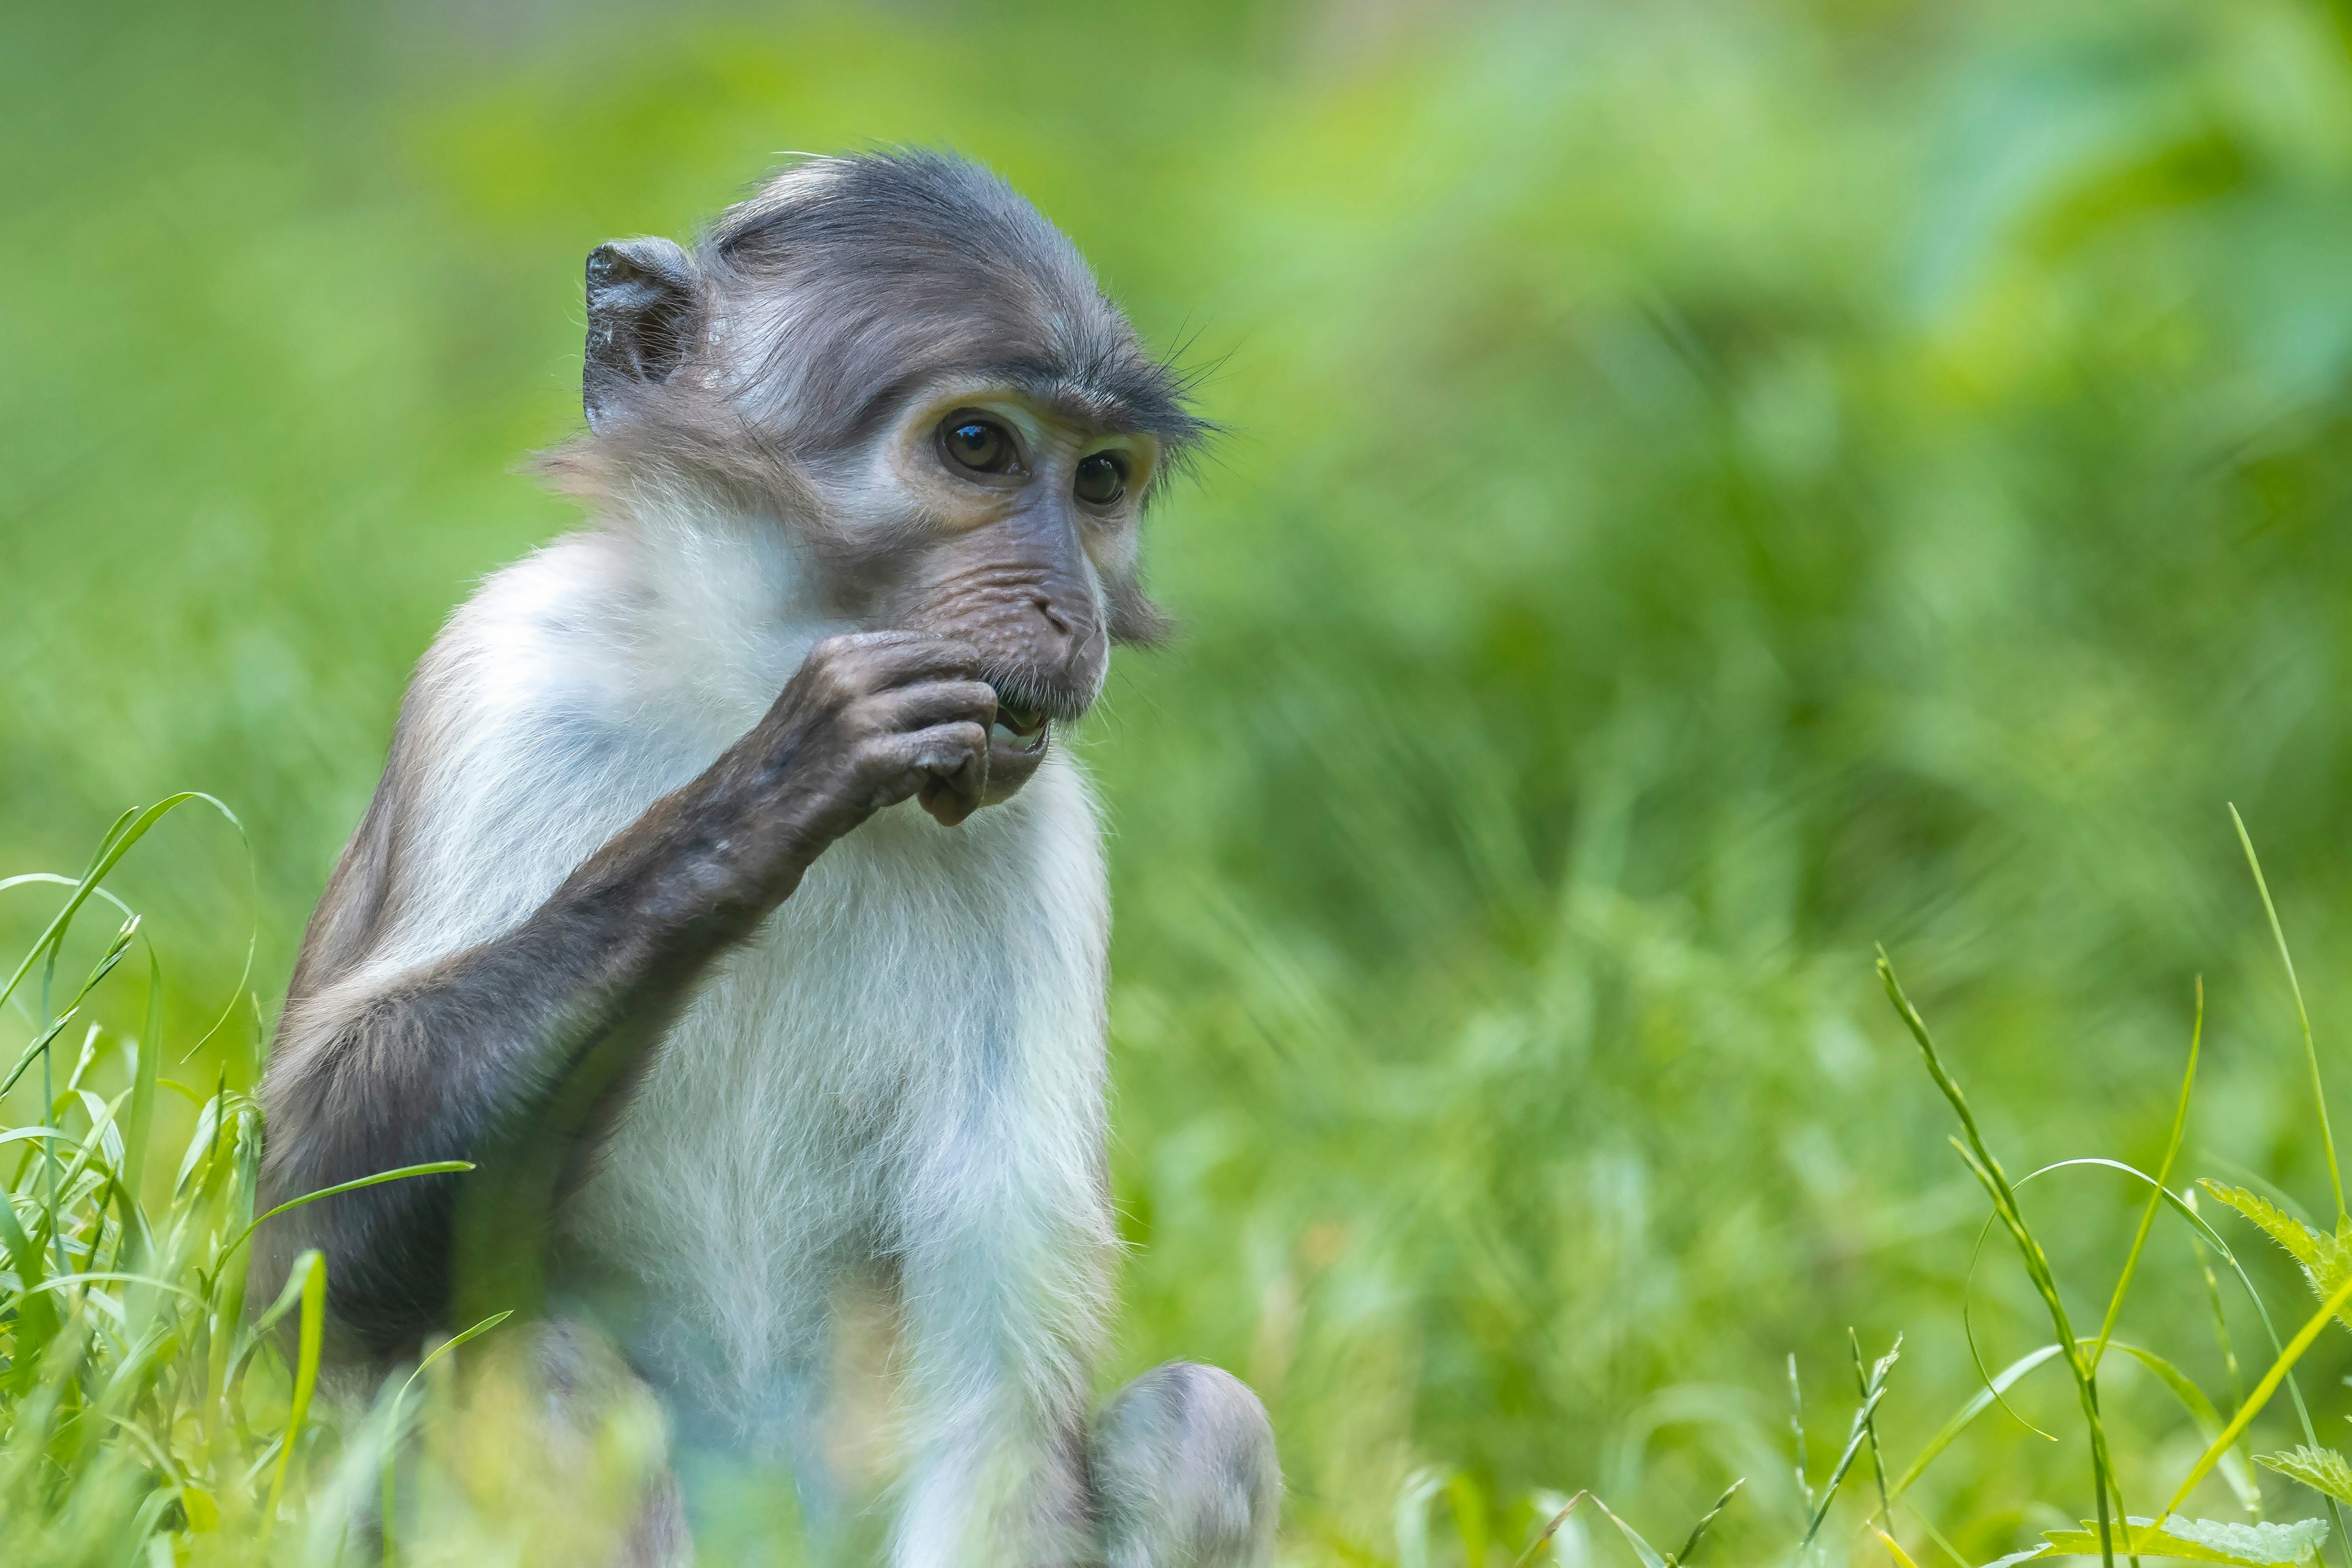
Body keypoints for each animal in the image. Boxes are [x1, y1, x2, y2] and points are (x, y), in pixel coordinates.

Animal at [255, 150, 1279, 1568]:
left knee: (1202, 1415)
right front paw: (761, 801)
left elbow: (994, 1386)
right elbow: (309, 1253)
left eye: (1101, 481)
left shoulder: (1044, 838)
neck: (729, 675)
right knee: (545, 1362)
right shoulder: (503, 677)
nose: (1067, 606)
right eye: (978, 444)